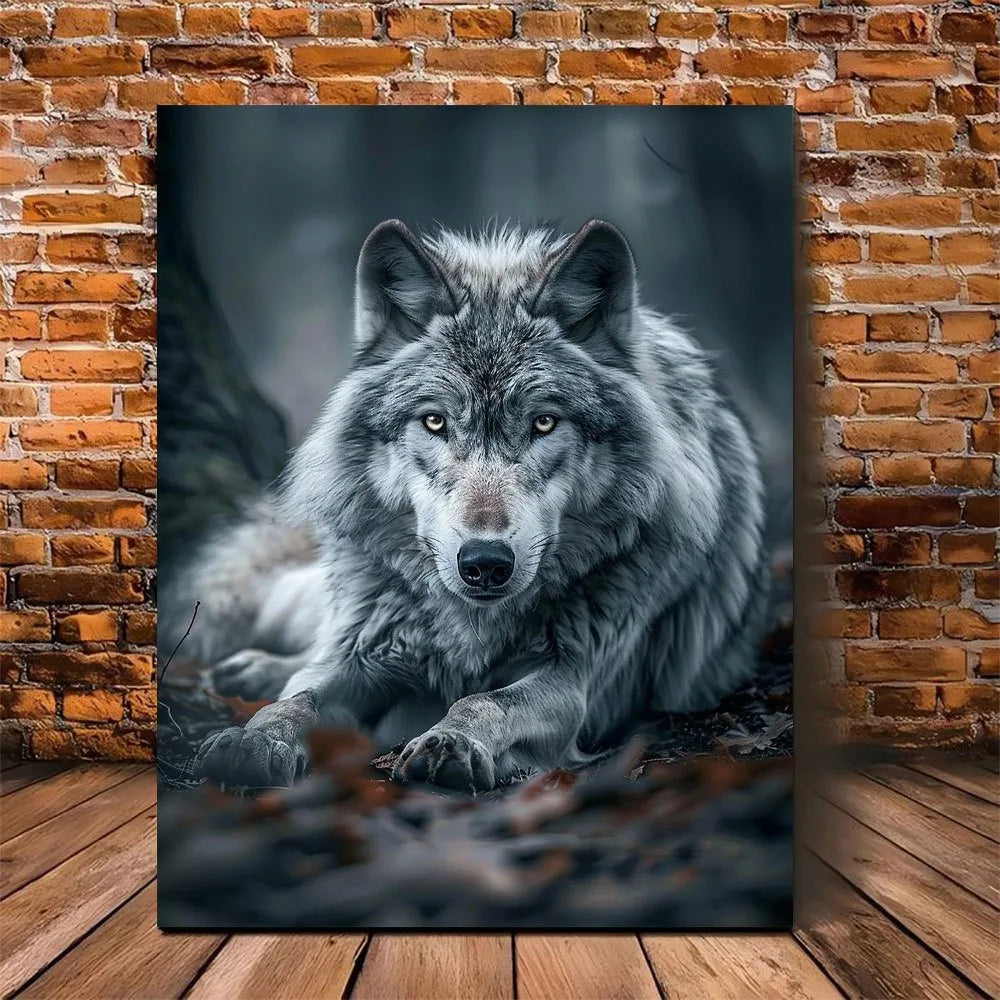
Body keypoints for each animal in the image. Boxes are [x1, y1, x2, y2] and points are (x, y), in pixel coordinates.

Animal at [162, 218, 770, 791]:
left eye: (543, 422)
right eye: (435, 421)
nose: (484, 562)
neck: (472, 629)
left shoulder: (572, 681)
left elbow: (485, 701)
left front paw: (448, 742)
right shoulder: (368, 652)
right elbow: (298, 698)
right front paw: (254, 738)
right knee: (309, 646)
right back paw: (253, 671)